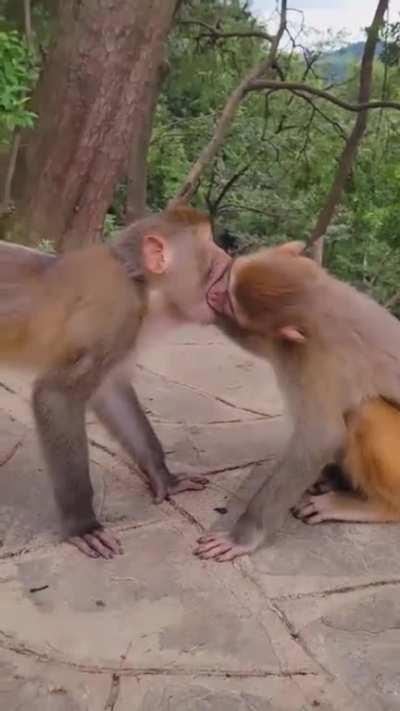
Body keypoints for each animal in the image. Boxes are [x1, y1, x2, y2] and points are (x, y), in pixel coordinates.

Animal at [0, 205, 231, 559]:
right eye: (211, 250)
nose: (229, 255)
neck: (142, 286)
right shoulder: (115, 314)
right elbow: (56, 395)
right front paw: (82, 524)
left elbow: (109, 393)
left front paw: (164, 476)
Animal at [196, 240, 400, 561]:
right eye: (229, 280)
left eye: (229, 300)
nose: (215, 293)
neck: (321, 303)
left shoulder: (314, 357)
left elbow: (320, 437)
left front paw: (243, 536)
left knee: (364, 411)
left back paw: (379, 506)